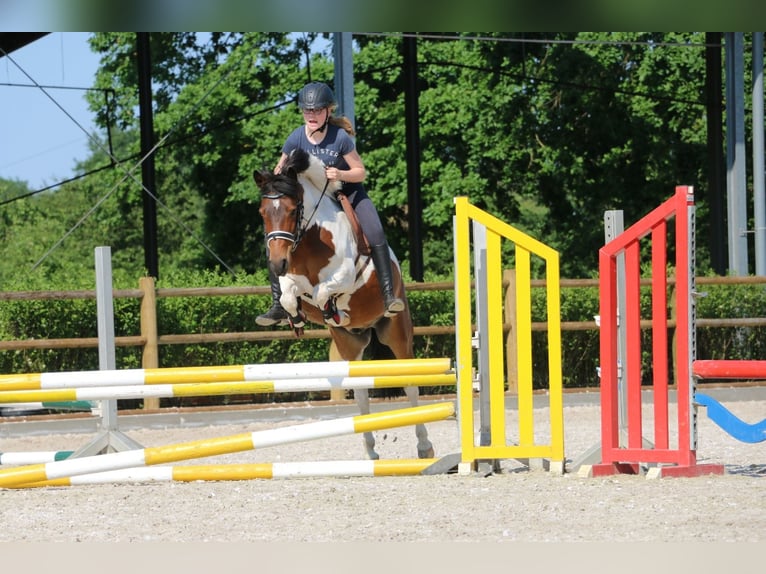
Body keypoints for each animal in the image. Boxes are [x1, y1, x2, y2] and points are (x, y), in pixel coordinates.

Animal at [250, 151, 432, 462]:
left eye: (292, 210)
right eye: (262, 212)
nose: (276, 264)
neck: (309, 240)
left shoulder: (345, 275)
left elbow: (324, 290)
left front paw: (330, 309)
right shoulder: (289, 279)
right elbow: (289, 296)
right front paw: (295, 318)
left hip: (397, 334)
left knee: (410, 384)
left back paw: (424, 446)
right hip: (350, 344)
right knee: (360, 391)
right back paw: (370, 451)